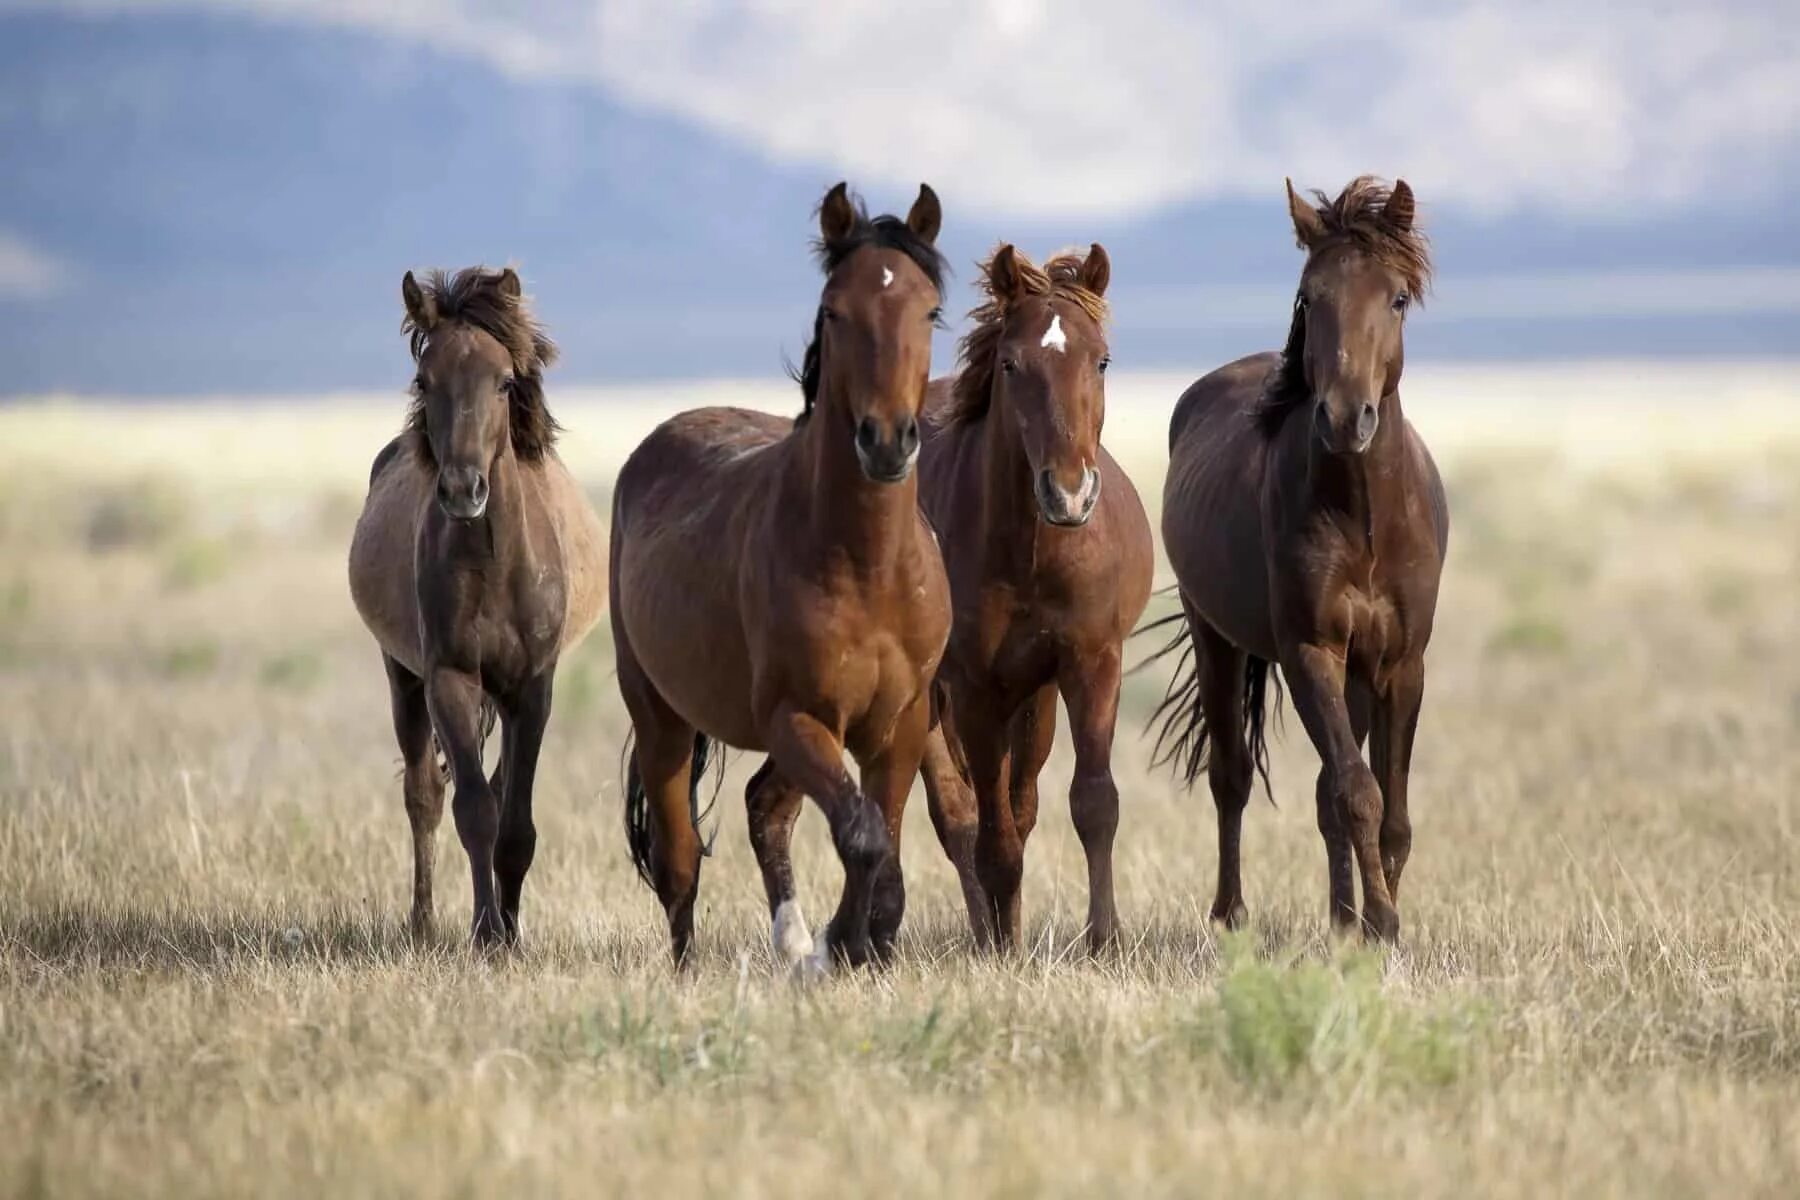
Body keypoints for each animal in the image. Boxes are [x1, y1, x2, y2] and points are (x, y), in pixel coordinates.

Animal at [347, 264, 608, 949]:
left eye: (505, 381)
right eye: (424, 379)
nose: (464, 490)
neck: (493, 562)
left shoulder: (531, 689)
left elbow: (515, 822)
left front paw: (509, 932)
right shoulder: (450, 679)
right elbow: (473, 813)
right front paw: (487, 934)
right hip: (402, 678)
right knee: (425, 795)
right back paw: (423, 924)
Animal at [612, 183, 957, 971]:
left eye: (929, 310)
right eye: (835, 310)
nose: (886, 441)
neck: (867, 567)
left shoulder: (900, 722)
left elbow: (884, 841)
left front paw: (860, 943)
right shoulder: (798, 717)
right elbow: (862, 835)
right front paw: (844, 944)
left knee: (766, 808)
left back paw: (795, 944)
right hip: (660, 718)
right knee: (680, 861)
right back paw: (699, 968)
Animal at [914, 246, 1152, 957]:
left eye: (1101, 360)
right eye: (1011, 364)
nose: (1069, 493)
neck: (1030, 552)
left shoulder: (1090, 664)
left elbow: (1093, 804)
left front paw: (1104, 941)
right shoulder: (973, 689)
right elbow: (989, 834)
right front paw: (1001, 951)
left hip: (1035, 699)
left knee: (1019, 807)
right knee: (962, 815)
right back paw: (988, 934)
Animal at [1152, 178, 1447, 942]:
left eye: (1396, 297)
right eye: (1309, 297)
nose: (1346, 418)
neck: (1364, 518)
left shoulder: (1399, 664)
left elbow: (1390, 810)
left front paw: (1374, 918)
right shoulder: (1311, 651)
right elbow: (1358, 792)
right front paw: (1381, 922)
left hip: (1354, 673)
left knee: (1319, 792)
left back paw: (1339, 918)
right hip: (1216, 638)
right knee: (1231, 776)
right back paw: (1231, 914)